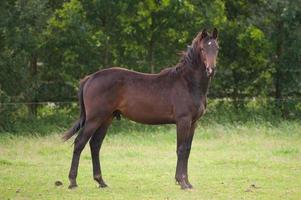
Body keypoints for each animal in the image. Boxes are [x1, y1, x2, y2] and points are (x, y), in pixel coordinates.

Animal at [63, 28, 218, 189]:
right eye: (203, 48)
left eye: (217, 48)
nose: (211, 70)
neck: (188, 83)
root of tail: (90, 78)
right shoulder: (183, 121)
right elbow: (180, 149)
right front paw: (181, 182)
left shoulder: (193, 123)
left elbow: (187, 150)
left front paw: (187, 182)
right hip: (94, 119)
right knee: (79, 143)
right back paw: (73, 181)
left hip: (106, 118)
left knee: (95, 144)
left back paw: (101, 181)